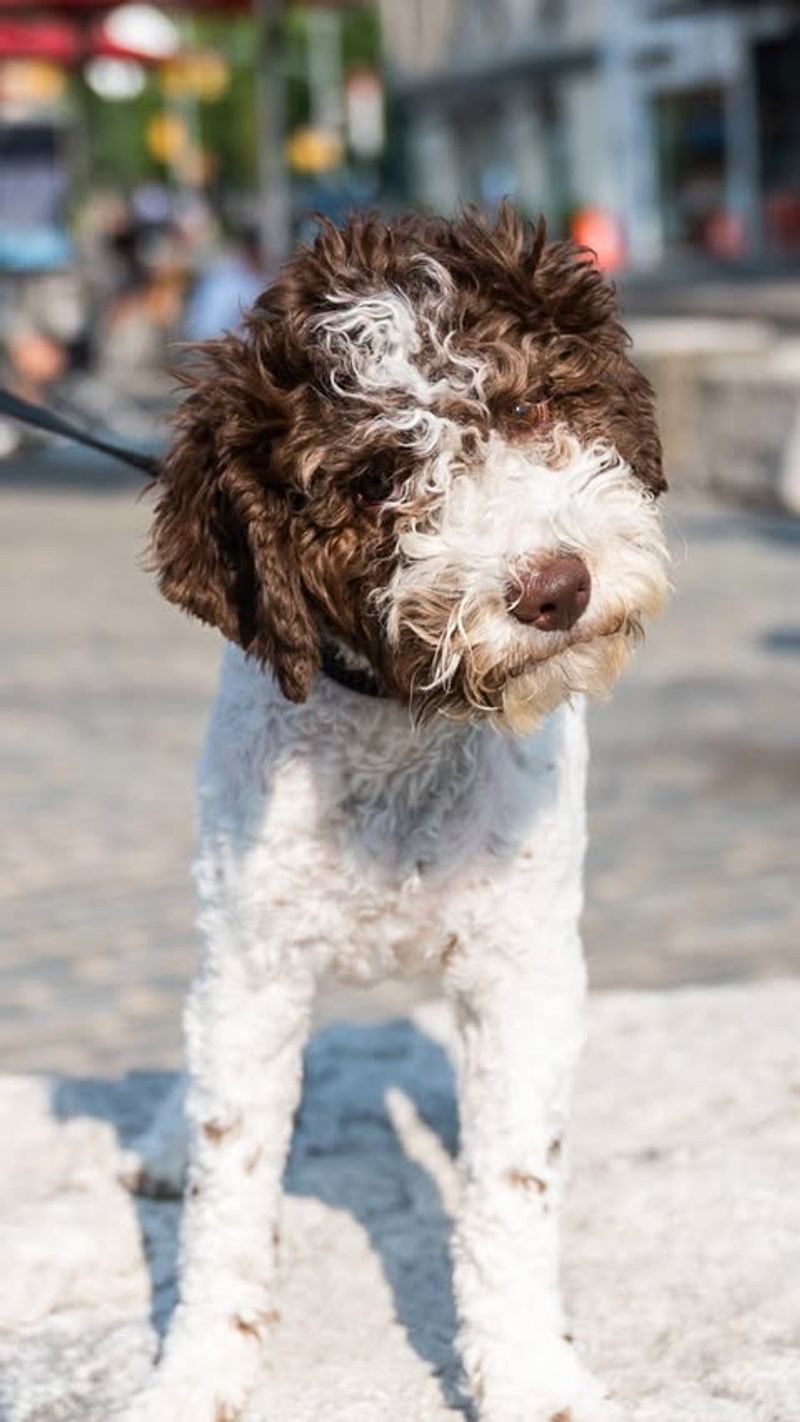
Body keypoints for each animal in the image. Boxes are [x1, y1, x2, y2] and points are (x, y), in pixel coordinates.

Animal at [118, 203, 670, 1422]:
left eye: (529, 409)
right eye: (376, 483)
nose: (553, 589)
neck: (401, 737)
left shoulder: (521, 968)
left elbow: (511, 1184)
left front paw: (528, 1371)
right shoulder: (259, 967)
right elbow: (232, 1189)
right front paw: (199, 1372)